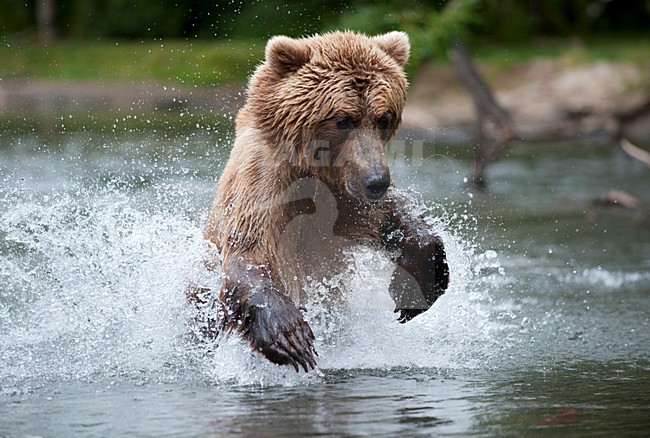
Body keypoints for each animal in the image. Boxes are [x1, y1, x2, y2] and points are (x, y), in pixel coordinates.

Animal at [200, 31, 449, 372]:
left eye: (383, 117)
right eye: (343, 119)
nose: (377, 180)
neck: (316, 169)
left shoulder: (345, 194)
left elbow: (389, 218)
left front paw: (411, 287)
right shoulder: (266, 184)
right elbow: (250, 252)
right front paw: (291, 337)